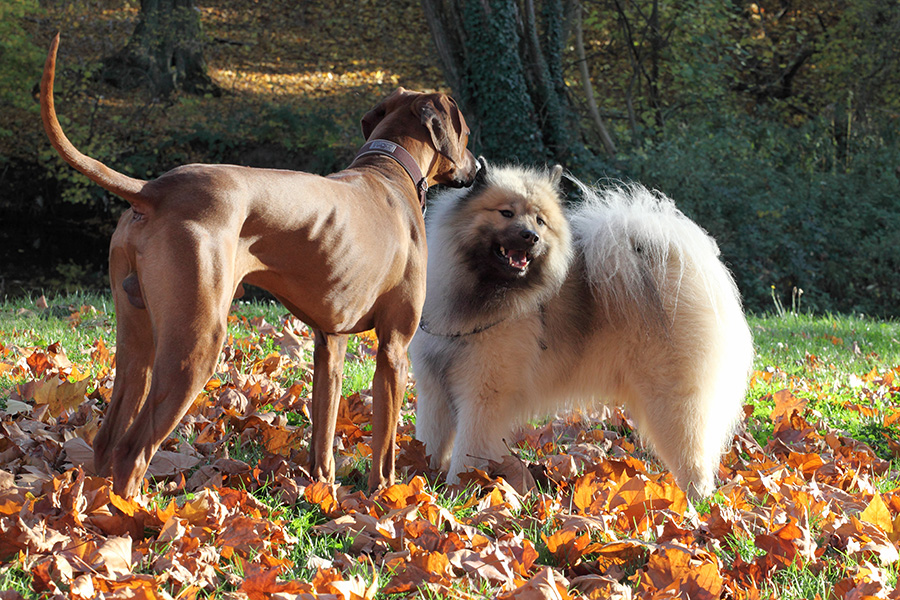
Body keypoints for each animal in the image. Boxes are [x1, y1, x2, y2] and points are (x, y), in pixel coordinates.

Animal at [39, 35, 482, 500]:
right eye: (467, 132)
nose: (480, 165)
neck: (391, 171)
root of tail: (154, 189)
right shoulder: (394, 347)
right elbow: (386, 445)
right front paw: (385, 496)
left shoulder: (330, 342)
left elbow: (324, 428)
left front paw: (322, 488)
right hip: (197, 343)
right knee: (133, 450)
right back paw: (133, 512)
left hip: (136, 337)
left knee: (108, 439)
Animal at [412, 159, 756, 496]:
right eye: (506, 213)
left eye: (540, 221)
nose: (530, 236)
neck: (476, 293)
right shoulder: (434, 391)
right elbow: (429, 440)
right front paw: (417, 475)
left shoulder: (482, 397)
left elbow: (467, 450)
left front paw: (456, 490)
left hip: (671, 399)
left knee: (693, 457)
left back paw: (694, 502)